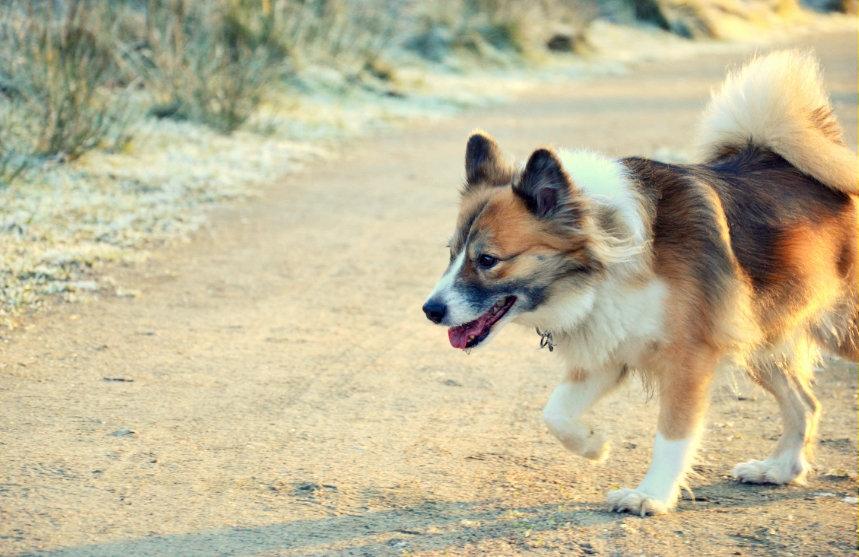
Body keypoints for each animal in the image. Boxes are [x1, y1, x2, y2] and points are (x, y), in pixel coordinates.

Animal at [420, 50, 856, 516]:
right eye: (451, 253)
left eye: (488, 260)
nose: (431, 311)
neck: (613, 254)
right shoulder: (609, 350)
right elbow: (555, 413)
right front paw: (594, 445)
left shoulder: (689, 358)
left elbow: (672, 436)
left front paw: (651, 495)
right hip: (760, 335)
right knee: (806, 404)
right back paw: (778, 469)